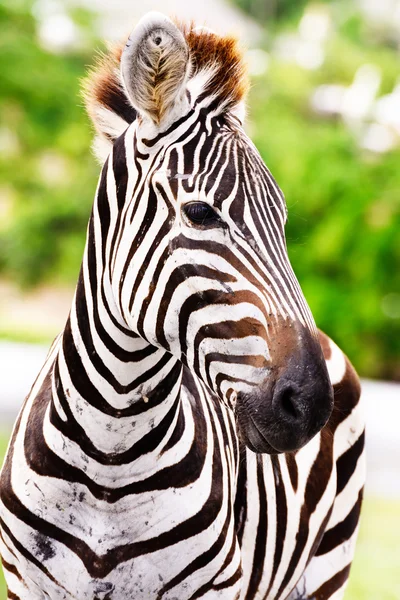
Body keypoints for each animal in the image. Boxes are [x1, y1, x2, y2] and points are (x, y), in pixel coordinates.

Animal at [0, 14, 366, 600]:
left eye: (282, 223)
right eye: (199, 213)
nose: (310, 405)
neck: (109, 451)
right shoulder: (25, 584)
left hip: (329, 566)